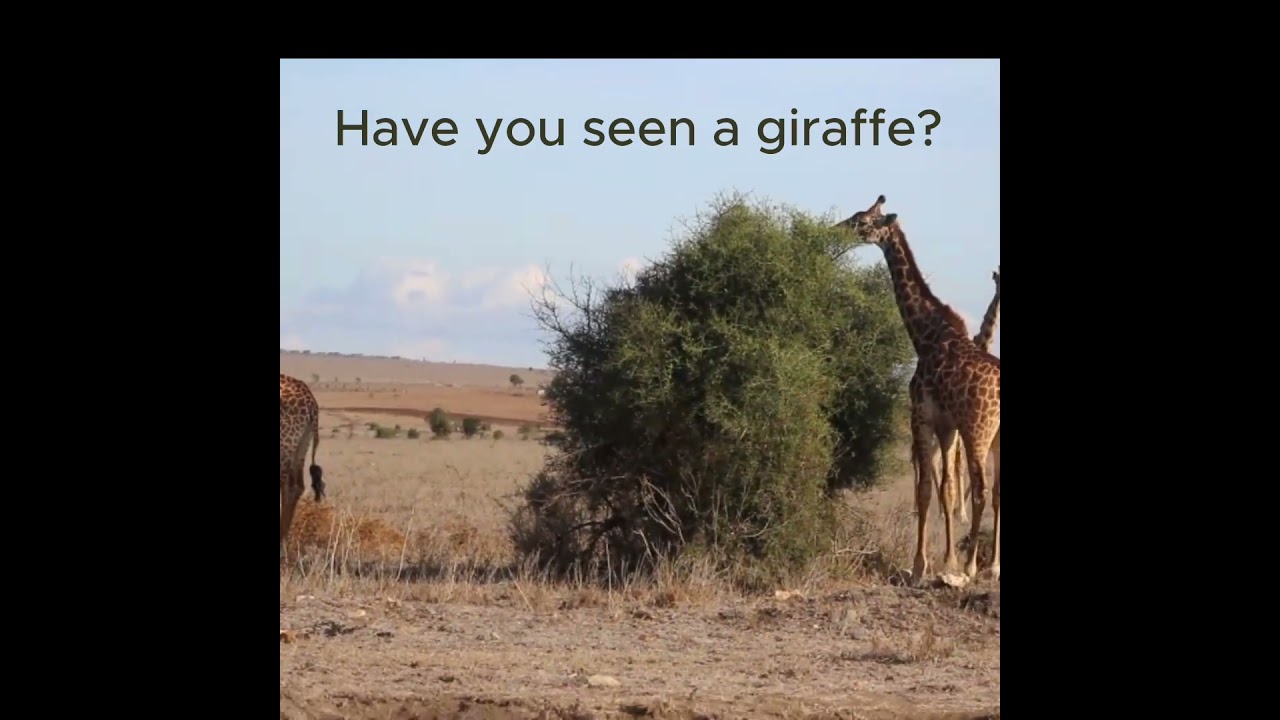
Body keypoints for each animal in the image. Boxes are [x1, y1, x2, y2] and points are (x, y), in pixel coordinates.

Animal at [835, 196, 1000, 582]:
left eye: (861, 220)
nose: (836, 229)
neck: (925, 335)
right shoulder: (947, 425)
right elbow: (946, 490)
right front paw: (946, 561)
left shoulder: (920, 416)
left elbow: (927, 490)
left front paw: (919, 566)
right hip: (990, 434)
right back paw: (991, 567)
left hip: (979, 429)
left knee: (982, 490)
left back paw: (973, 566)